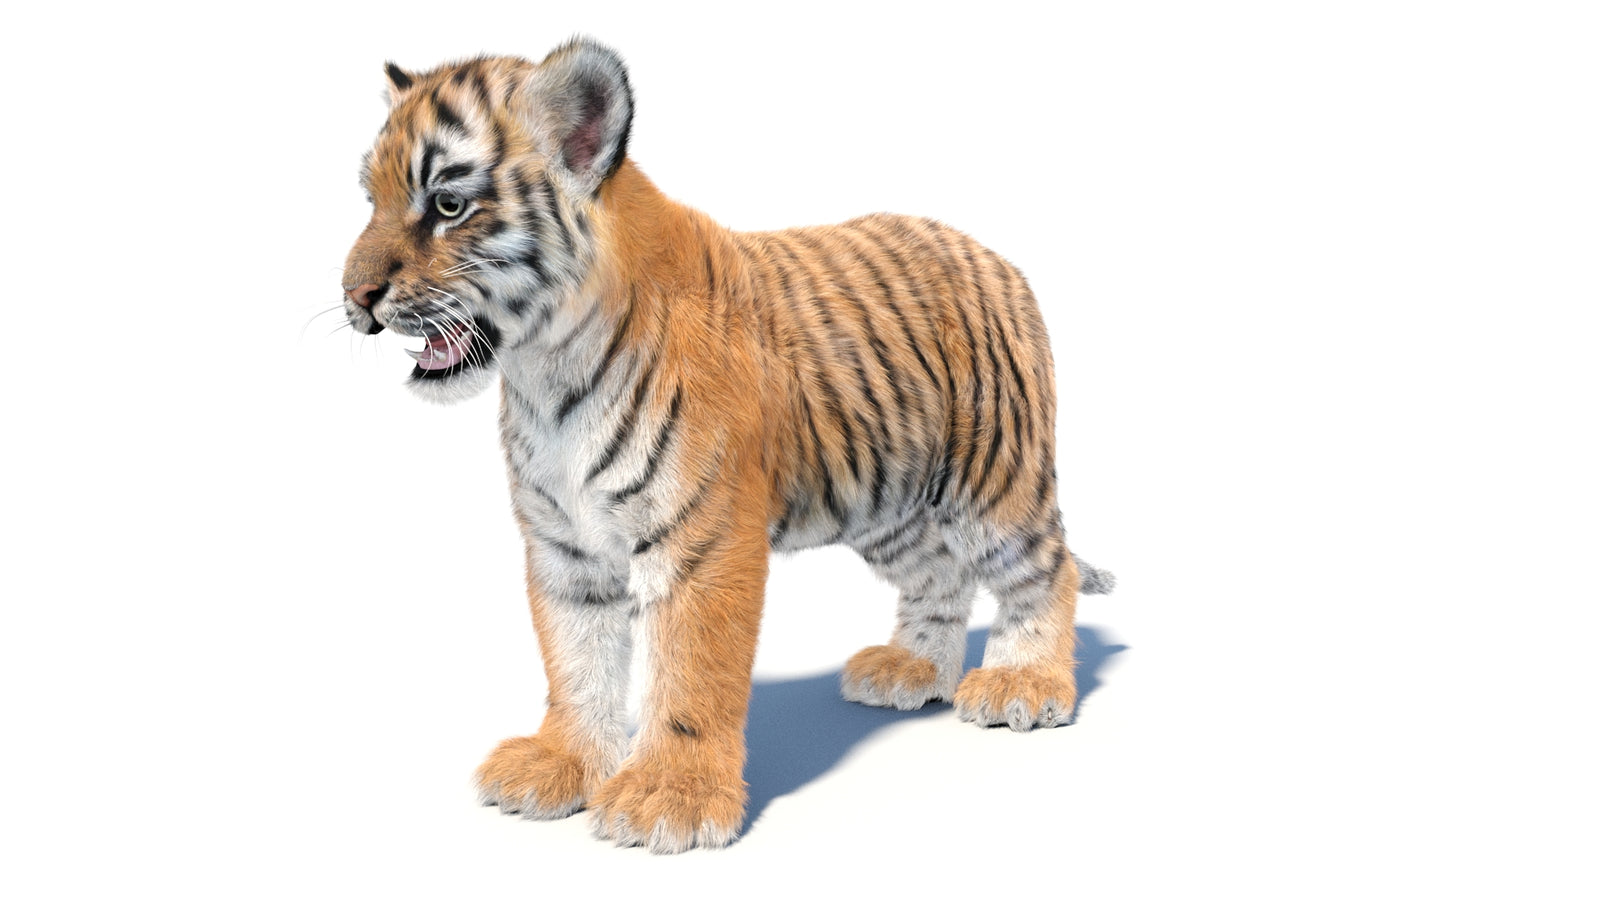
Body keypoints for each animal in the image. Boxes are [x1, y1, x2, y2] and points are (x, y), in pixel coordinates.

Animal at [340, 37, 1113, 853]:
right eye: (371, 200)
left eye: (448, 206)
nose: (354, 295)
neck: (546, 375)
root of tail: (990, 254)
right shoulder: (564, 546)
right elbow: (576, 660)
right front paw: (561, 764)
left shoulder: (701, 538)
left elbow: (690, 669)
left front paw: (667, 799)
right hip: (886, 506)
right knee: (942, 575)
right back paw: (911, 669)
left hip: (990, 479)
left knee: (1046, 570)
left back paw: (1024, 684)